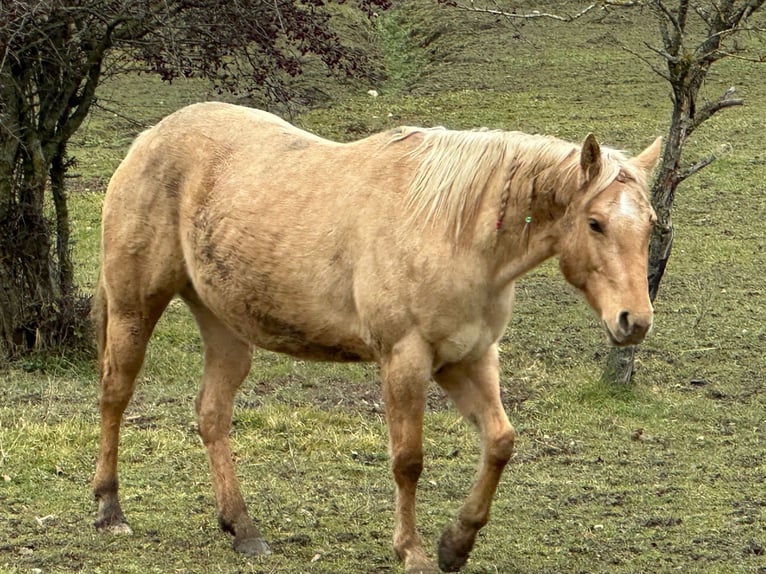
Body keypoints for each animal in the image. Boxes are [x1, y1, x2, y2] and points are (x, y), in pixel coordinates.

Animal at [92, 101, 661, 573]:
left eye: (650, 223)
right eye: (596, 223)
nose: (634, 321)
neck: (452, 232)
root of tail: (150, 137)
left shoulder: (469, 358)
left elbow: (500, 442)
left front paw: (456, 543)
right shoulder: (405, 359)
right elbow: (408, 461)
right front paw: (412, 551)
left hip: (226, 330)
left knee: (212, 414)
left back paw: (242, 528)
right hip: (133, 309)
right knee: (115, 395)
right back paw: (109, 509)